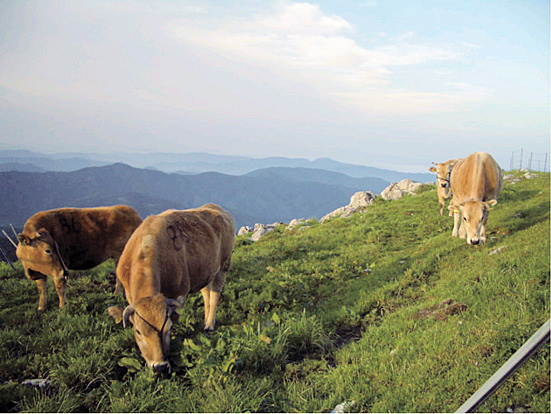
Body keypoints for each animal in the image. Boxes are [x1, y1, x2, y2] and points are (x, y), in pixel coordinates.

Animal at [108, 204, 235, 376]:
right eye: (138, 331)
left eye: (168, 329)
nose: (160, 367)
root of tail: (216, 208)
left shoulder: (179, 293)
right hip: (206, 272)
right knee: (207, 295)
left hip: (223, 266)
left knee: (215, 295)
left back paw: (209, 325)